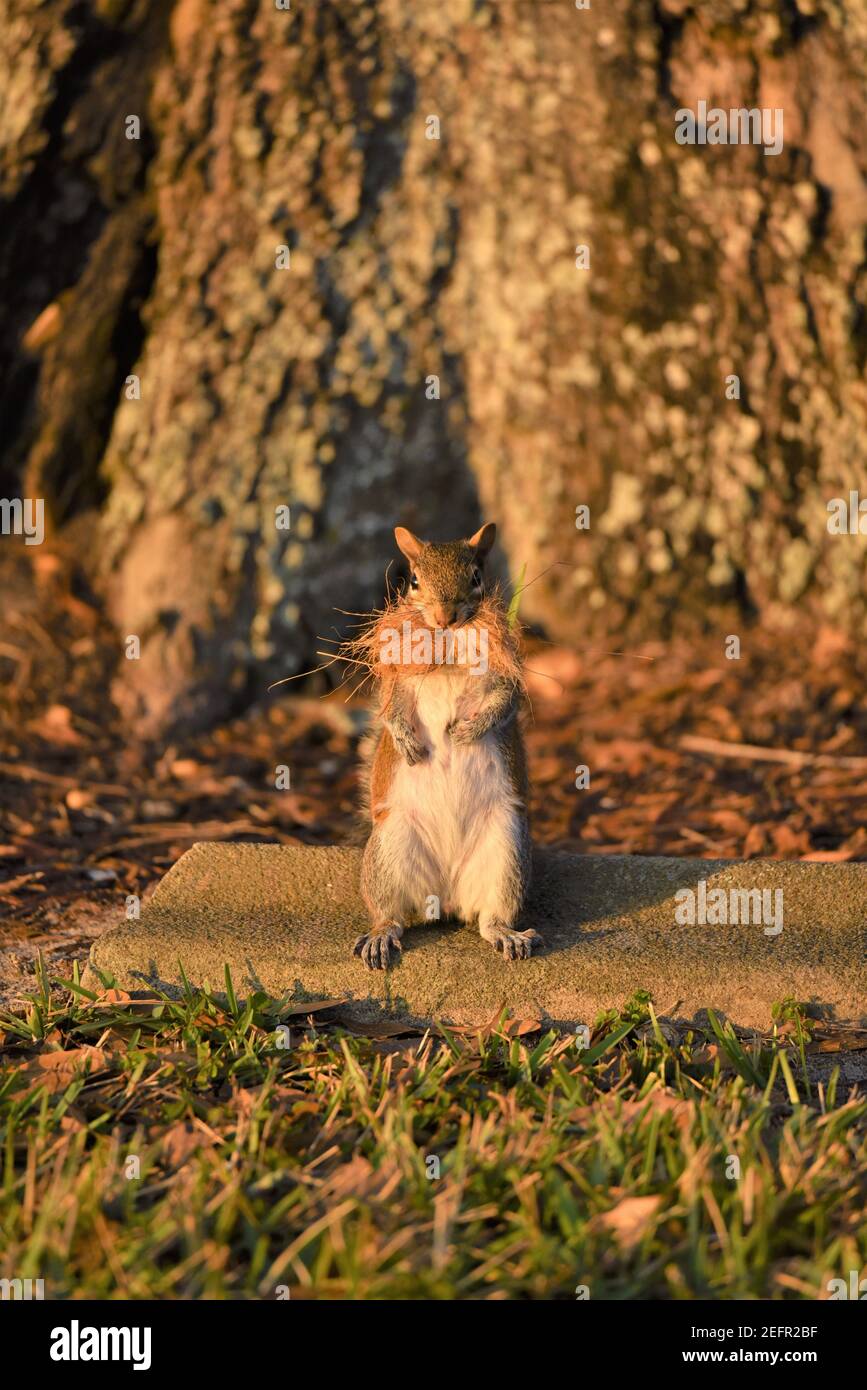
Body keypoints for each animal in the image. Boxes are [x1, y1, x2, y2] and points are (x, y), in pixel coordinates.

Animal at [352, 525, 541, 973]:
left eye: (476, 576)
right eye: (413, 581)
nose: (444, 618)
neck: (447, 646)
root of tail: (448, 897)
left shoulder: (504, 674)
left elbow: (503, 704)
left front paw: (467, 732)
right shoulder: (397, 680)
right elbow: (390, 709)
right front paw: (407, 743)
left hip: (507, 850)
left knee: (491, 916)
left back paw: (506, 934)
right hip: (388, 849)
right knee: (390, 913)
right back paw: (381, 935)